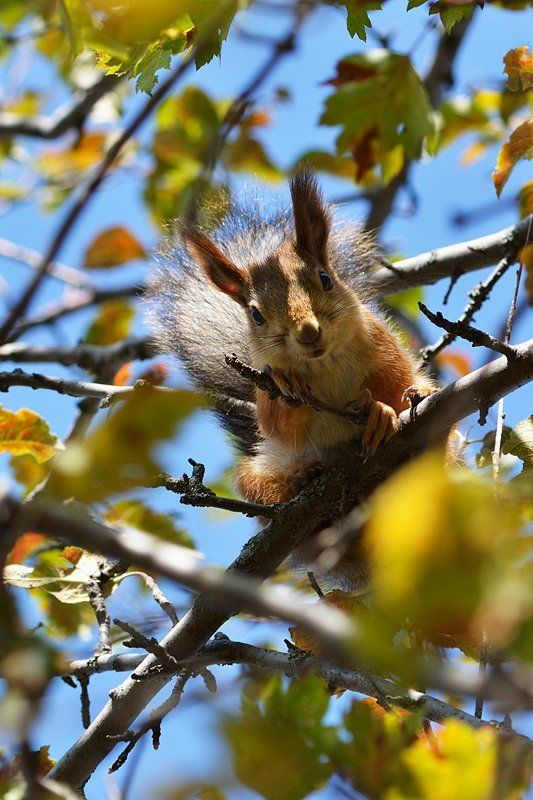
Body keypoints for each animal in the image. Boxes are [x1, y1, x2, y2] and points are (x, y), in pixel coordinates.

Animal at [147, 171, 437, 580]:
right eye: (255, 314)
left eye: (325, 279)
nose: (307, 332)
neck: (324, 364)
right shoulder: (265, 391)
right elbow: (277, 424)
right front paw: (292, 387)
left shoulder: (385, 352)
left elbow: (395, 388)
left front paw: (380, 412)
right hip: (259, 471)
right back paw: (296, 483)